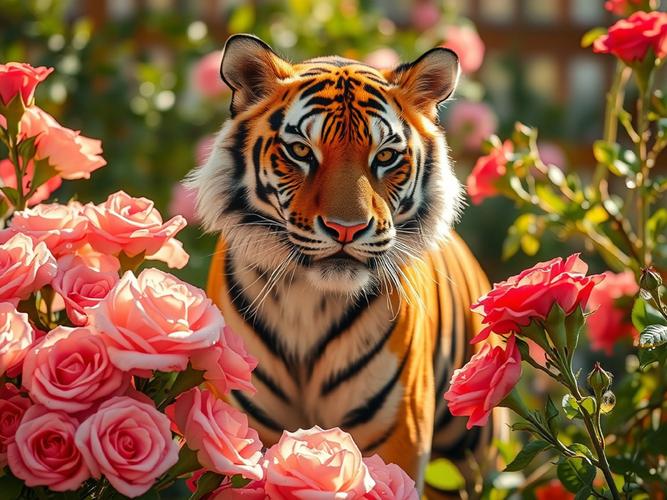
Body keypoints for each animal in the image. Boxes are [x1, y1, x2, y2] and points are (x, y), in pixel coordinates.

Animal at [188, 34, 503, 495]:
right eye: (301, 151)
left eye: (386, 157)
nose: (346, 229)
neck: (308, 301)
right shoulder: (238, 428)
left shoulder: (397, 434)